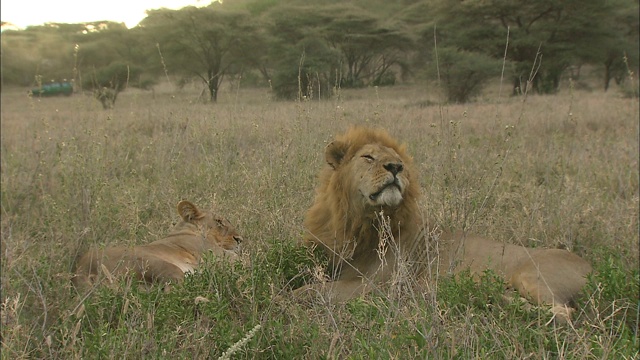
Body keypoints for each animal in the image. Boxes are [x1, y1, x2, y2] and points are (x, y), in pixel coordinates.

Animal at [298, 126, 592, 320]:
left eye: (399, 161)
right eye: (368, 157)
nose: (396, 167)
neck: (361, 219)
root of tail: (591, 267)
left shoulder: (376, 286)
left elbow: (310, 291)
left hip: (531, 276)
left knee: (564, 313)